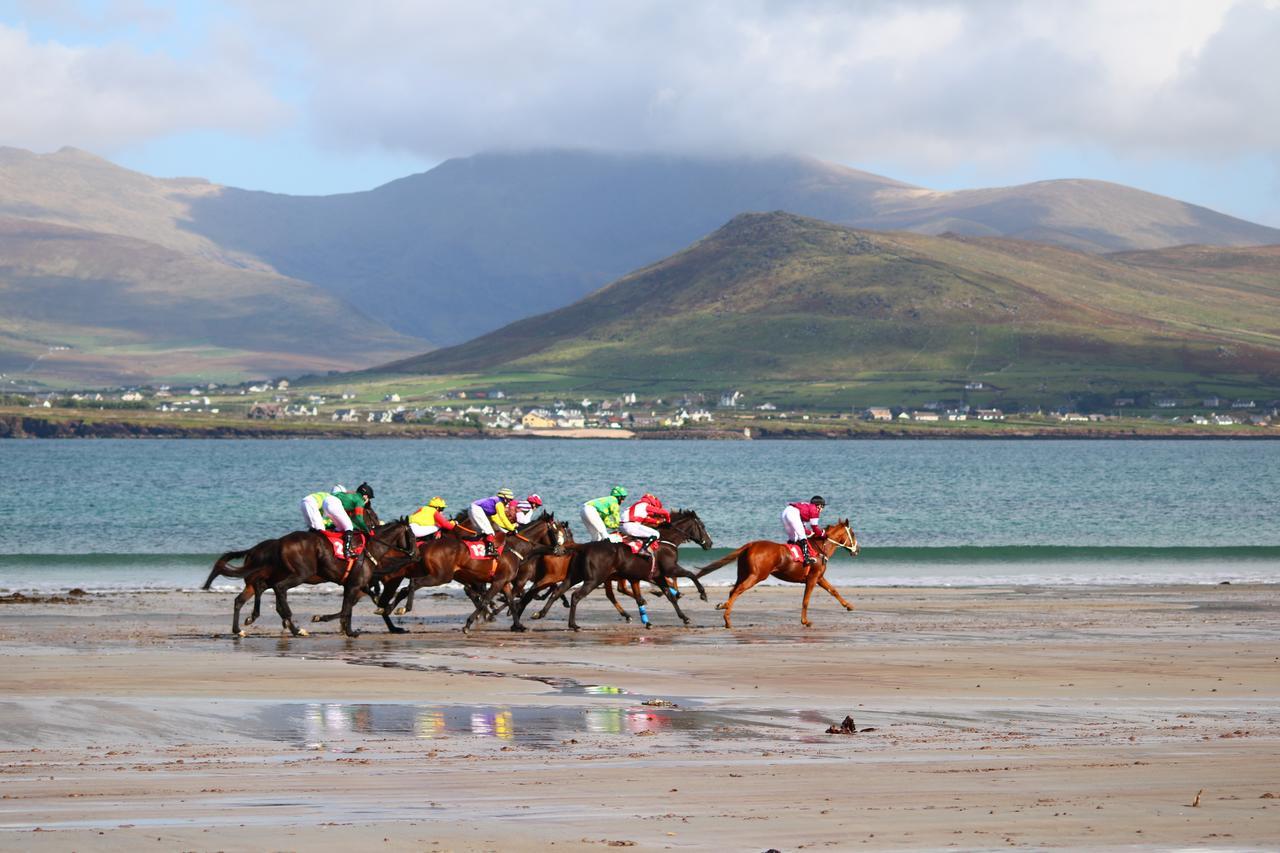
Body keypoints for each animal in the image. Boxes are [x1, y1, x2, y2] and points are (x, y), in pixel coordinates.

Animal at [200, 514, 414, 635]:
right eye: (411, 534)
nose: (414, 553)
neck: (371, 548)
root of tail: (279, 542)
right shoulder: (355, 585)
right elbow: (347, 609)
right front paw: (347, 630)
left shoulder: (355, 585)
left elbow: (349, 608)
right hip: (299, 574)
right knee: (278, 590)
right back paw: (295, 628)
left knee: (243, 598)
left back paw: (241, 628)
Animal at [506, 504, 711, 630]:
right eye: (702, 526)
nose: (709, 543)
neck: (665, 539)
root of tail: (583, 546)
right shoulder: (669, 569)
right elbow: (691, 575)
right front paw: (703, 594)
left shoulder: (655, 575)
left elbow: (669, 596)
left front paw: (683, 616)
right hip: (593, 578)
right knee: (574, 595)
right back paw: (572, 624)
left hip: (575, 576)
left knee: (557, 592)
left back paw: (539, 613)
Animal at [696, 514, 865, 627]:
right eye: (853, 533)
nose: (858, 550)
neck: (820, 548)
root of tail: (751, 545)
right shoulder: (812, 578)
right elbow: (806, 600)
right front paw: (805, 621)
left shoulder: (819, 577)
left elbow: (833, 590)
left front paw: (849, 606)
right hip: (757, 575)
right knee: (738, 590)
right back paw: (726, 616)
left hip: (743, 573)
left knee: (733, 590)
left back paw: (725, 609)